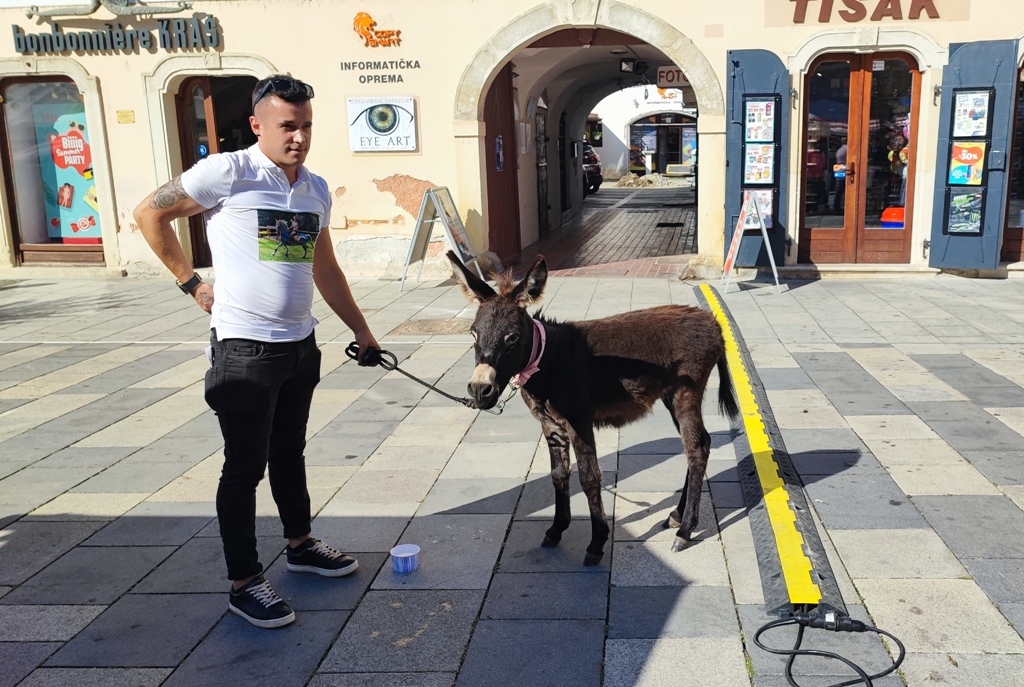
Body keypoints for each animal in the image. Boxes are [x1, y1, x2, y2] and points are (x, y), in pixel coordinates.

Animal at [447, 250, 740, 566]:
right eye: (473, 334)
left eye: (512, 337)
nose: (480, 390)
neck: (548, 360)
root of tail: (712, 322)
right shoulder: (551, 425)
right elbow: (558, 475)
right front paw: (556, 529)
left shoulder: (579, 421)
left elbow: (589, 477)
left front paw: (597, 542)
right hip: (671, 396)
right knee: (700, 444)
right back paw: (675, 515)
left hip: (686, 394)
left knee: (696, 449)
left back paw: (684, 531)